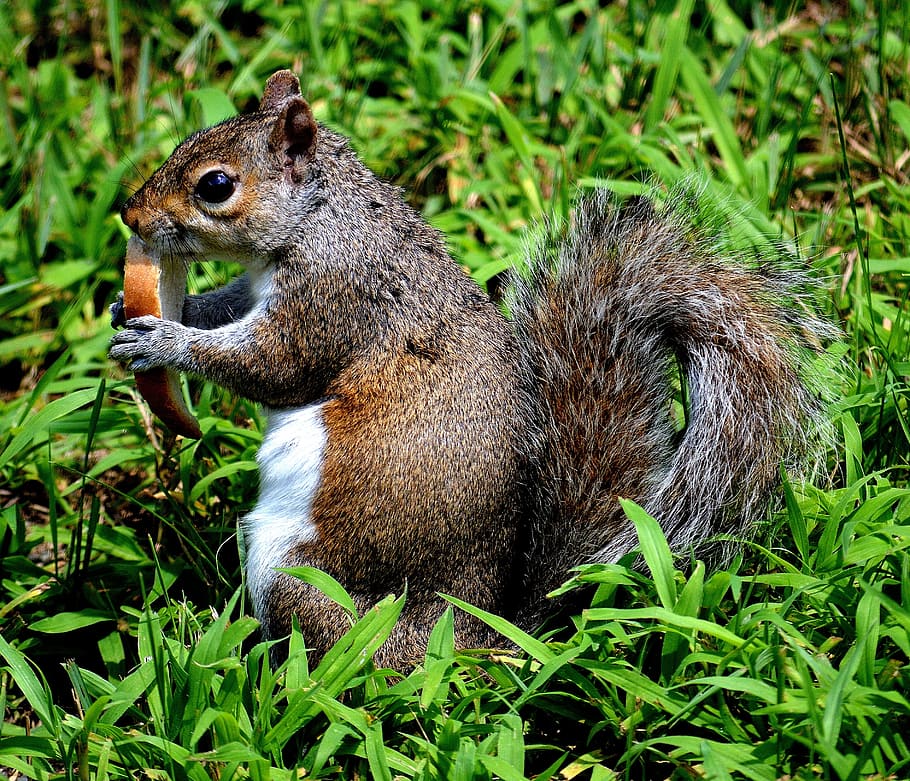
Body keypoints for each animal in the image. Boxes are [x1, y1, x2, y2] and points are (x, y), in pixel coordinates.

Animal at [110, 70, 835, 668]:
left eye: (216, 185)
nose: (130, 214)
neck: (322, 218)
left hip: (306, 590)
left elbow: (272, 367)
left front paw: (165, 340)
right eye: (190, 139)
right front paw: (141, 308)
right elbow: (225, 307)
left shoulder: (335, 301)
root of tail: (479, 639)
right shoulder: (261, 287)